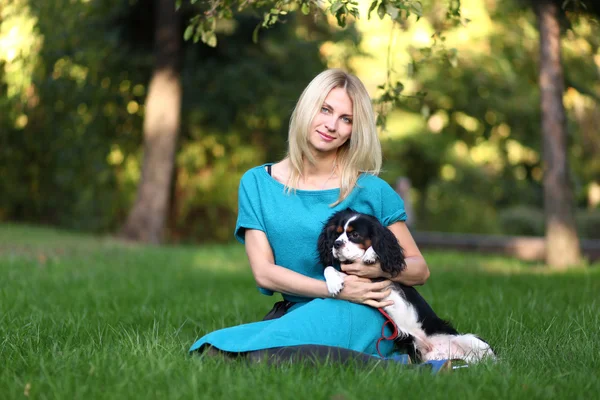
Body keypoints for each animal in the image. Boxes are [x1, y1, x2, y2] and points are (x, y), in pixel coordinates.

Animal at [316, 209, 494, 362]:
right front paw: (334, 284)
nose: (336, 244)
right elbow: (328, 268)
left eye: (355, 235)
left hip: (473, 340)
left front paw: (371, 254)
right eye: (337, 233)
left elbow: (378, 247)